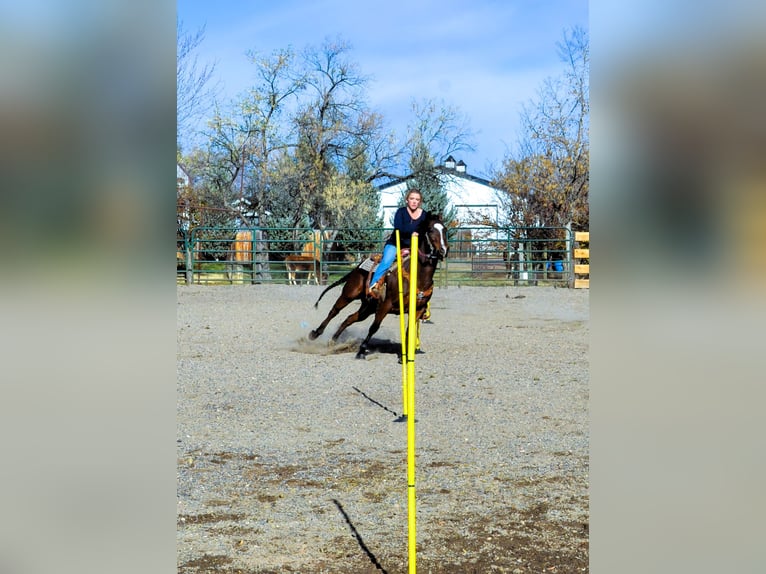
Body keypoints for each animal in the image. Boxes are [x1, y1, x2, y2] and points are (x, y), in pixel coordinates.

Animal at [308, 214, 450, 360]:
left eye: (444, 229)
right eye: (430, 230)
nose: (444, 250)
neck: (417, 276)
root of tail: (357, 267)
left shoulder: (418, 310)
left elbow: (409, 331)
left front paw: (404, 357)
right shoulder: (385, 305)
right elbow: (374, 327)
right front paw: (361, 351)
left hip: (367, 307)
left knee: (350, 318)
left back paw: (333, 340)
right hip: (349, 294)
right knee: (334, 311)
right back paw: (315, 333)